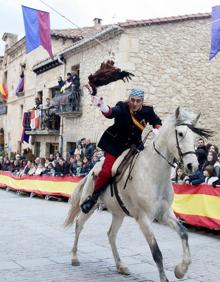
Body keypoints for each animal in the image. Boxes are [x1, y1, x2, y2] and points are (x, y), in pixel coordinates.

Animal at [64, 108, 210, 282]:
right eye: (180, 133)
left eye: (195, 137)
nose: (192, 166)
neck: (153, 173)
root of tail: (92, 169)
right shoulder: (144, 218)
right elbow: (156, 252)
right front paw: (165, 277)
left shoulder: (164, 214)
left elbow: (183, 233)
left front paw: (181, 270)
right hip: (90, 206)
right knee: (79, 224)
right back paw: (74, 257)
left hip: (118, 213)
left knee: (111, 235)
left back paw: (120, 265)